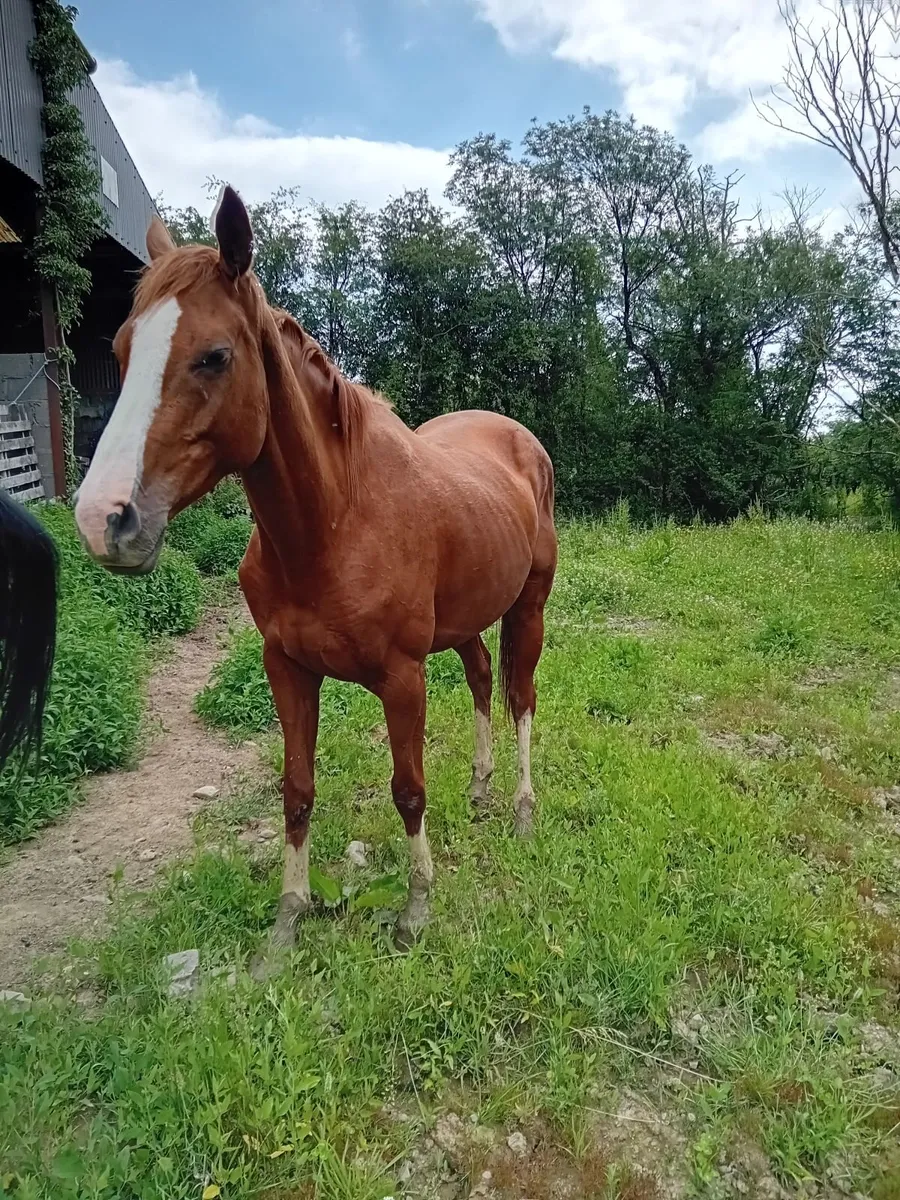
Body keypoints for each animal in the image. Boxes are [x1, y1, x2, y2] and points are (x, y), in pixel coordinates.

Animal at [73, 185, 557, 958]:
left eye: (214, 356)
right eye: (120, 349)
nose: (104, 519)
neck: (334, 522)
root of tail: (519, 439)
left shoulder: (402, 677)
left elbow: (408, 788)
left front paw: (416, 907)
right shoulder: (288, 668)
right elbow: (296, 789)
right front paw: (288, 918)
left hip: (529, 608)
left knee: (520, 697)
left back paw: (520, 809)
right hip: (463, 621)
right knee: (485, 677)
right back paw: (481, 792)